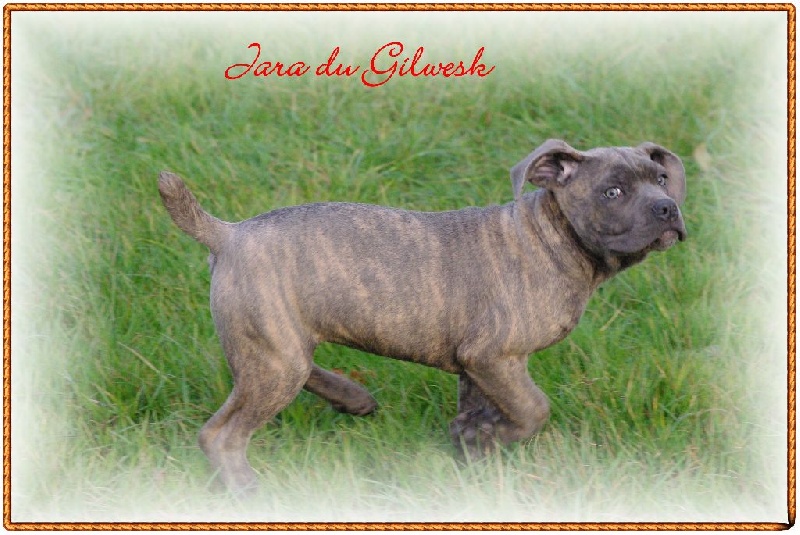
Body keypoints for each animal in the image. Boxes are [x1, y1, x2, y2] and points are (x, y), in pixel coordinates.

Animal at [158, 139, 687, 492]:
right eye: (612, 192)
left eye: (661, 179)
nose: (668, 208)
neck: (552, 238)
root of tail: (227, 233)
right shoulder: (496, 355)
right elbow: (533, 407)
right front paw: (492, 436)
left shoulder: (478, 364)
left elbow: (485, 407)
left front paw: (474, 440)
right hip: (272, 358)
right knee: (221, 433)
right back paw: (246, 487)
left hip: (277, 345)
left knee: (301, 368)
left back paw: (352, 398)